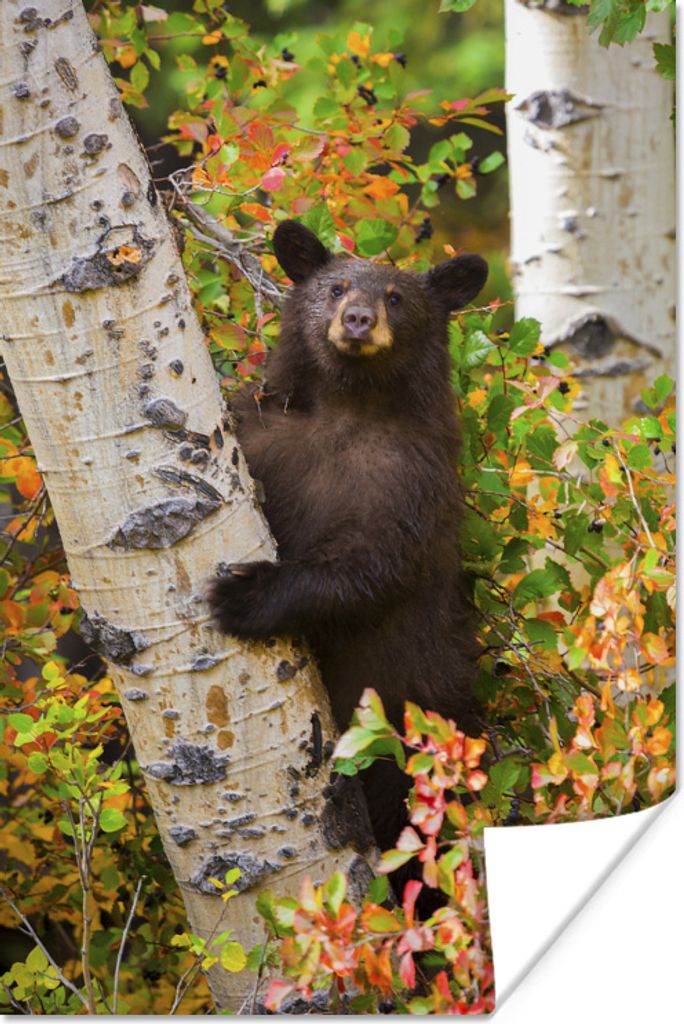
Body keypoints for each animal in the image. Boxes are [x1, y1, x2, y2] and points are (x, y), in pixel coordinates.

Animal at [208, 219, 488, 866]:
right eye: (335, 287)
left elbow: (371, 564)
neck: (350, 406)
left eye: (397, 297)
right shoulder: (262, 434)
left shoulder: (411, 482)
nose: (358, 318)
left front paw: (248, 594)